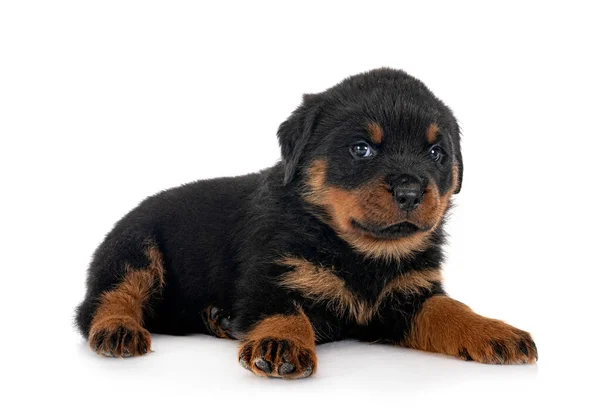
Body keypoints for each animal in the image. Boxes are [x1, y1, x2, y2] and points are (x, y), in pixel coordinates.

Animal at [76, 68, 540, 378]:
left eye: (437, 153)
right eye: (361, 149)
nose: (410, 191)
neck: (360, 252)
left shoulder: (411, 295)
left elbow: (450, 309)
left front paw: (494, 331)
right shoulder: (273, 275)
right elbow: (285, 309)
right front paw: (282, 343)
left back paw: (218, 320)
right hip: (135, 247)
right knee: (105, 300)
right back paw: (118, 330)